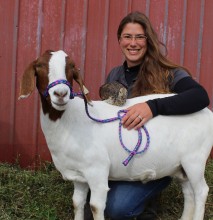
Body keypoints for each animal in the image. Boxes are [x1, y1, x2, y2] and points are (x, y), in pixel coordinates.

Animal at [19, 49, 213, 220]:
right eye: (40, 66)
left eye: (71, 67)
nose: (60, 93)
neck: (70, 121)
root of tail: (208, 113)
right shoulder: (79, 176)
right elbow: (77, 203)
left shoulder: (97, 171)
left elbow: (96, 207)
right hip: (180, 167)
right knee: (189, 192)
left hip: (194, 160)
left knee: (201, 191)